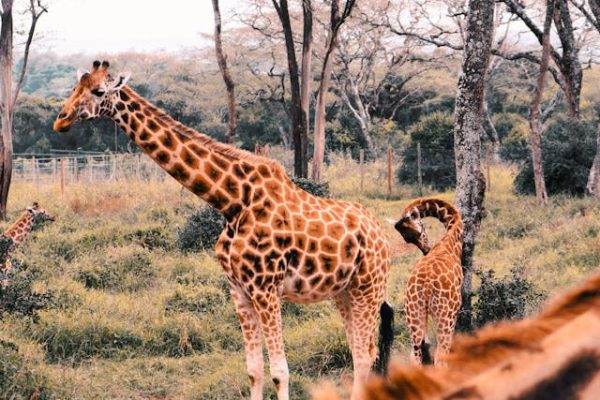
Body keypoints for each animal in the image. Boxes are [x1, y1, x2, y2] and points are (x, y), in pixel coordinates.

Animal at [54, 60, 394, 400]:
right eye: (76, 87)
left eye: (99, 91)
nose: (61, 119)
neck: (232, 203)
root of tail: (382, 234)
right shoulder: (239, 290)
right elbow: (255, 370)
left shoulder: (266, 289)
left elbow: (280, 372)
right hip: (344, 291)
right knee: (359, 351)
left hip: (368, 287)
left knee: (365, 353)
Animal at [392, 197, 462, 366]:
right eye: (422, 228)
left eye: (409, 237)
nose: (426, 249)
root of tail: (427, 286)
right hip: (445, 316)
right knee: (441, 355)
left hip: (413, 314)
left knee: (416, 355)